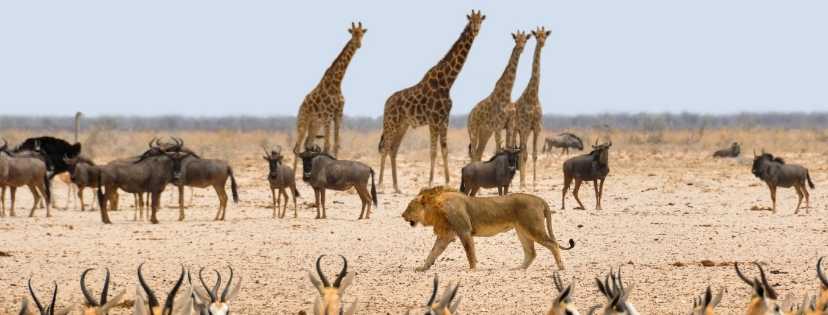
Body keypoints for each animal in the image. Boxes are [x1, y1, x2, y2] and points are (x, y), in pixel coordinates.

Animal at [292, 22, 368, 175]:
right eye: (353, 34)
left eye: (362, 34)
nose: (358, 44)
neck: (337, 83)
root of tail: (301, 106)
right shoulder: (328, 115)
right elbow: (327, 145)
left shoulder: (338, 114)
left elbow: (336, 144)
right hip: (303, 122)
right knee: (297, 146)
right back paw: (293, 175)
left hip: (315, 125)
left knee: (308, 144)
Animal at [376, 9, 486, 194]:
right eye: (471, 21)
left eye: (481, 21)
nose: (476, 30)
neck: (447, 82)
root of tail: (386, 103)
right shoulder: (433, 120)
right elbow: (433, 151)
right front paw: (430, 182)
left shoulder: (444, 119)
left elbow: (445, 150)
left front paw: (448, 182)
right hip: (391, 122)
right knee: (385, 148)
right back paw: (381, 185)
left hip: (403, 125)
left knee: (393, 149)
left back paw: (397, 187)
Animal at [402, 186, 576, 272]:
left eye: (409, 207)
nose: (402, 215)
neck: (437, 207)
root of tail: (540, 199)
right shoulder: (446, 235)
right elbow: (433, 252)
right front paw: (423, 268)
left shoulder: (464, 231)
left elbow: (469, 252)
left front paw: (472, 269)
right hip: (522, 231)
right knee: (531, 252)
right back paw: (518, 268)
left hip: (533, 228)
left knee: (553, 244)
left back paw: (561, 267)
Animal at [466, 30, 532, 162]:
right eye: (516, 39)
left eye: (525, 40)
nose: (520, 48)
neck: (507, 95)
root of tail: (469, 116)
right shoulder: (498, 125)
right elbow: (498, 149)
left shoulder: (510, 124)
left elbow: (508, 147)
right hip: (473, 131)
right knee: (474, 154)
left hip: (485, 132)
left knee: (478, 154)